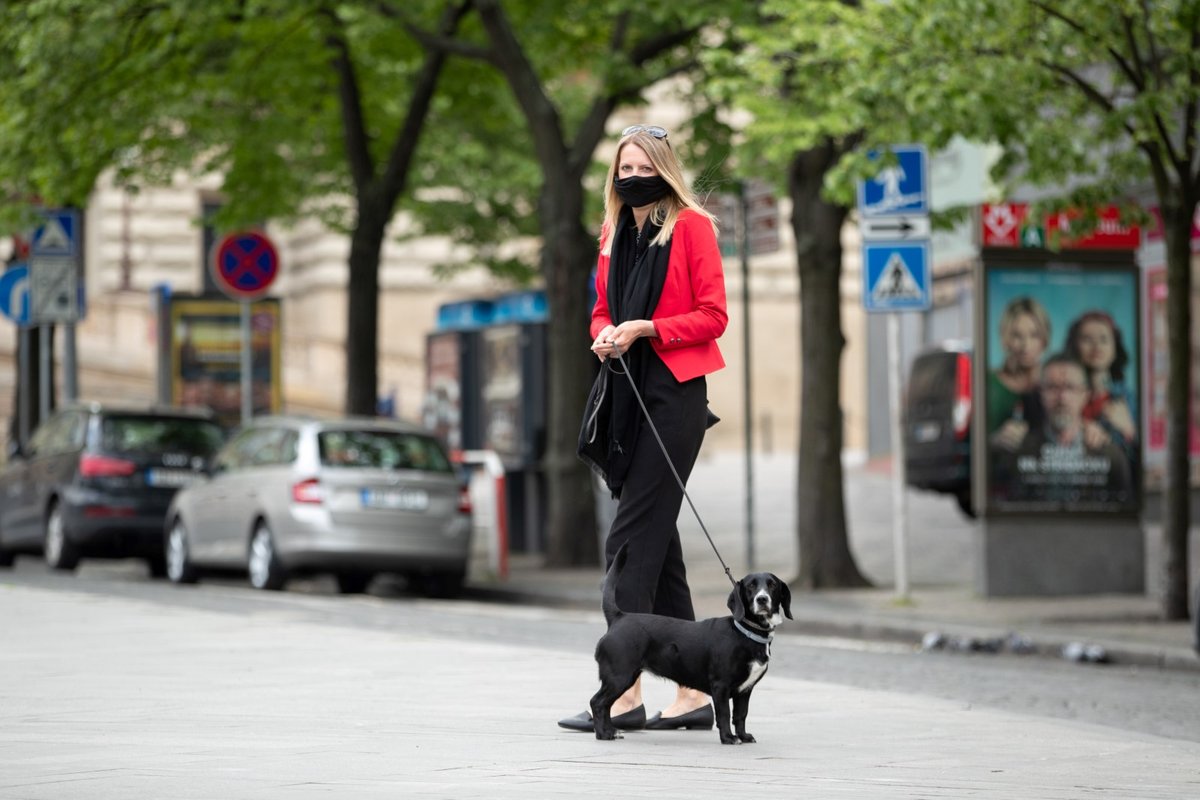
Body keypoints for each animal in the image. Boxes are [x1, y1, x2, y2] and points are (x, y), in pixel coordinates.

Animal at [588, 544, 792, 743]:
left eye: (772, 585)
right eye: (751, 586)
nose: (762, 599)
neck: (746, 632)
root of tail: (619, 617)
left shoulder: (745, 690)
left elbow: (741, 715)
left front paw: (743, 736)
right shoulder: (721, 686)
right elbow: (724, 714)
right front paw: (728, 738)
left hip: (624, 678)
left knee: (605, 705)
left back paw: (610, 731)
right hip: (619, 676)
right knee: (597, 702)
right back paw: (603, 734)